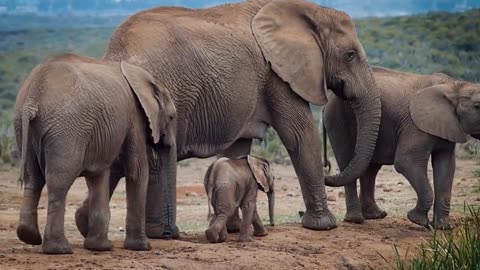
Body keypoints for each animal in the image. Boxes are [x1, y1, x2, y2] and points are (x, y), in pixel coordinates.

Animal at [14, 53, 176, 254]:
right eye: (172, 117)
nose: (168, 234)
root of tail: (33, 98)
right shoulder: (134, 117)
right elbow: (137, 172)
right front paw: (142, 247)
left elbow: (99, 173)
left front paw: (100, 247)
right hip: (66, 130)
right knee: (58, 182)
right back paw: (59, 249)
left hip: (24, 128)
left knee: (33, 179)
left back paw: (29, 236)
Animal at [76, 0, 382, 238]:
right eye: (350, 55)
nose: (330, 168)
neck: (309, 10)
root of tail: (114, 54)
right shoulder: (276, 74)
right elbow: (299, 135)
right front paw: (323, 227)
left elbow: (239, 149)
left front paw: (233, 229)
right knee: (153, 157)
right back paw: (159, 234)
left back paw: (87, 226)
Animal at [322, 66, 480, 229]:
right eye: (478, 106)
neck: (456, 85)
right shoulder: (415, 125)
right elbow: (406, 162)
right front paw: (417, 221)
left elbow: (446, 167)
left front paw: (442, 228)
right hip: (338, 117)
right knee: (348, 161)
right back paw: (356, 220)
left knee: (370, 167)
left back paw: (375, 215)